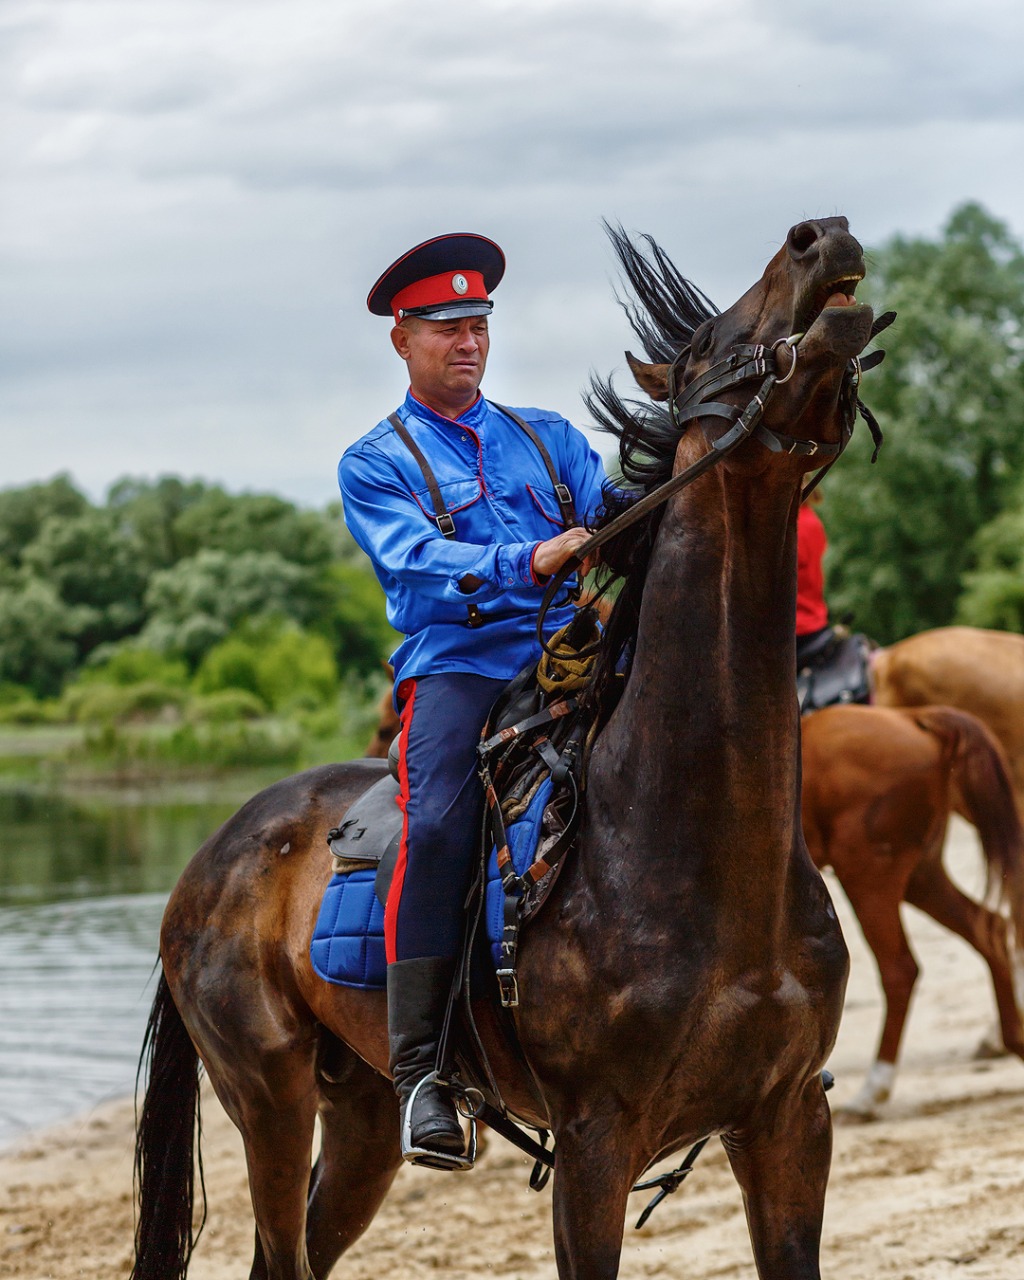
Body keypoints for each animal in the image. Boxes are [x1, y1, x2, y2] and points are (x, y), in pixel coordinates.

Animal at [131, 220, 875, 1280]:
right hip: (270, 1102)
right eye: (702, 345)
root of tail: (209, 860)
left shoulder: (788, 1123)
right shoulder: (598, 1145)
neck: (693, 851)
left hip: (358, 1122)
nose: (821, 238)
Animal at [798, 706, 1024, 1116]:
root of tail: (912, 718)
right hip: (922, 873)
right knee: (989, 929)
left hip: (869, 871)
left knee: (899, 969)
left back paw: (874, 1088)